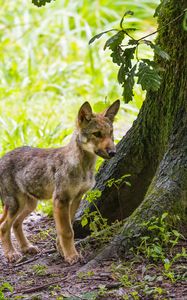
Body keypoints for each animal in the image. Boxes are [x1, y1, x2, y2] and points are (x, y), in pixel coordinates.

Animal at [0, 99, 120, 264]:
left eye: (111, 133)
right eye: (97, 134)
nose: (113, 152)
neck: (84, 167)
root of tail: (3, 157)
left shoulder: (75, 199)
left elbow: (65, 229)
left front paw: (62, 251)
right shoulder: (60, 200)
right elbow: (67, 231)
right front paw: (72, 256)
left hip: (30, 204)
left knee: (16, 224)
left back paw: (26, 247)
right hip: (15, 204)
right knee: (4, 226)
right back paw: (11, 254)